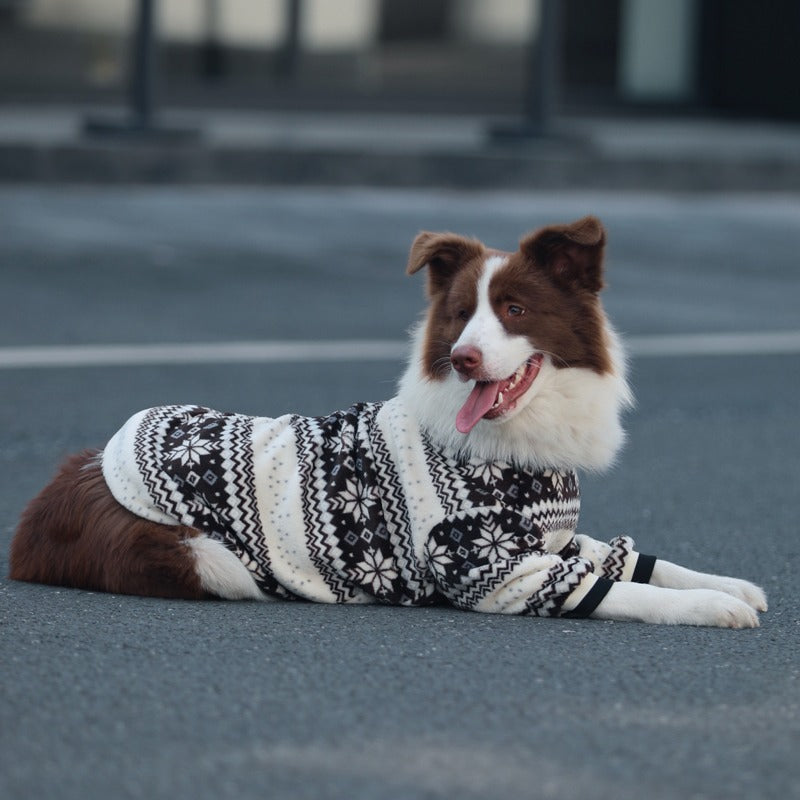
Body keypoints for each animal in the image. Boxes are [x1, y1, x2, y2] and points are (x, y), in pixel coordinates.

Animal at [9, 216, 764, 628]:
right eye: (459, 314)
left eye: (515, 310)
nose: (462, 358)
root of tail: (45, 500)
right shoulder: (496, 568)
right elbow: (627, 592)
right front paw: (712, 608)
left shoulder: (551, 535)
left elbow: (637, 561)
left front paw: (730, 584)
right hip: (205, 558)